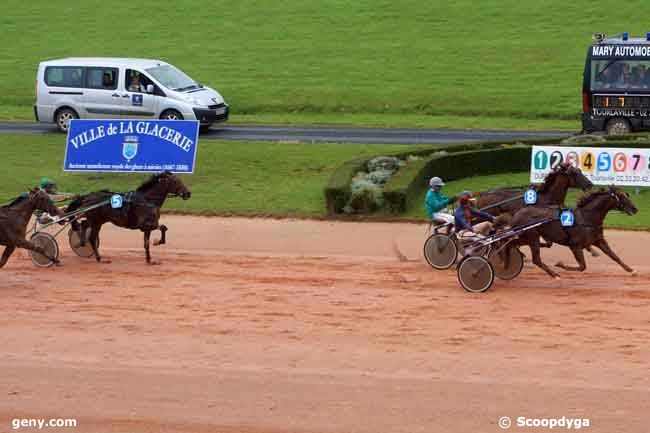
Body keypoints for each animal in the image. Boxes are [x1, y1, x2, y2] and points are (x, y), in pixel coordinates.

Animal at [498, 187, 636, 278]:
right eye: (621, 197)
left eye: (627, 195)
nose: (635, 208)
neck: (586, 218)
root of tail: (516, 215)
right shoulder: (575, 246)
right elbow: (582, 266)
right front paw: (560, 264)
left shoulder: (598, 240)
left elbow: (614, 256)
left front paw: (630, 269)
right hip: (532, 237)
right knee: (535, 259)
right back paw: (554, 274)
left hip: (525, 237)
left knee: (509, 244)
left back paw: (505, 262)